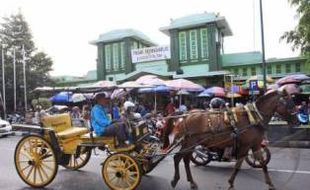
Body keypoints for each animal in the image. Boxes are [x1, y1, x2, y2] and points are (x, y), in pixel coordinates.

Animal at [163, 90, 300, 190]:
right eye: (290, 102)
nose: (297, 121)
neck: (253, 117)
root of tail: (186, 115)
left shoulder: (255, 145)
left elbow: (263, 164)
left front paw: (270, 184)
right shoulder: (245, 145)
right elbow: (238, 165)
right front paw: (230, 183)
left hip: (191, 143)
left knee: (185, 160)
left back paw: (191, 182)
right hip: (190, 142)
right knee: (178, 158)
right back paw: (175, 180)